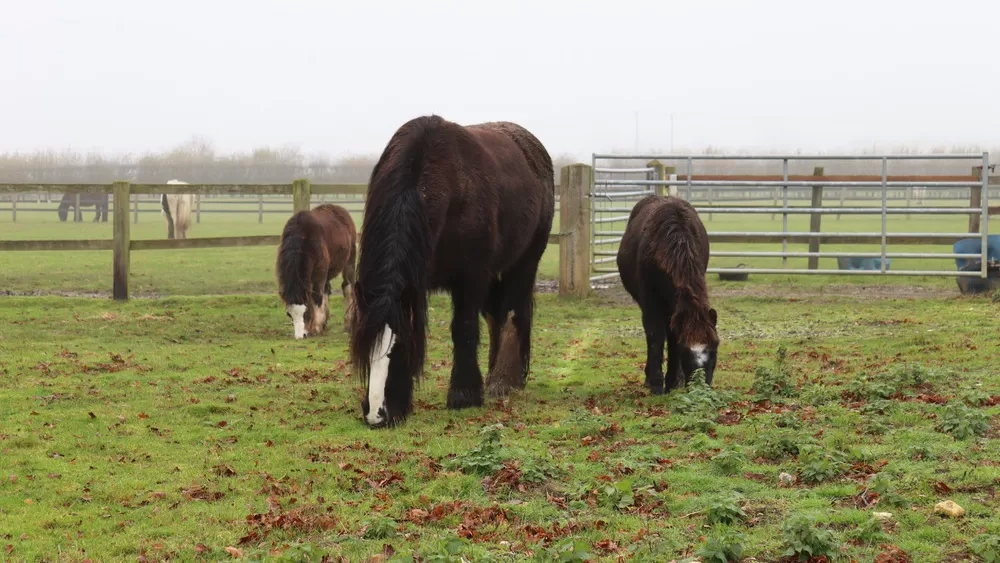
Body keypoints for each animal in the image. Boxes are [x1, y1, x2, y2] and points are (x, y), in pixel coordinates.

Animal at [276, 205, 358, 342]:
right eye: (289, 314)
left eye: (306, 312)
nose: (300, 336)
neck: (303, 236)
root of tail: (339, 209)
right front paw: (319, 325)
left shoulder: (319, 273)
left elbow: (317, 296)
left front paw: (315, 328)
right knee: (327, 289)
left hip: (349, 261)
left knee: (348, 287)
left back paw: (348, 324)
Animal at [350, 114, 556, 428]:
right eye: (365, 347)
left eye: (400, 347)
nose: (377, 414)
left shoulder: (470, 278)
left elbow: (464, 328)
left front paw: (464, 394)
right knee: (496, 313)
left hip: (524, 261)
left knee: (514, 310)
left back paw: (505, 380)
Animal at [616, 196, 720, 394]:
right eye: (686, 352)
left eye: (714, 348)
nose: (700, 388)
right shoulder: (651, 305)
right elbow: (655, 337)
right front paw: (656, 383)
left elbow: (672, 338)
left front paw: (672, 381)